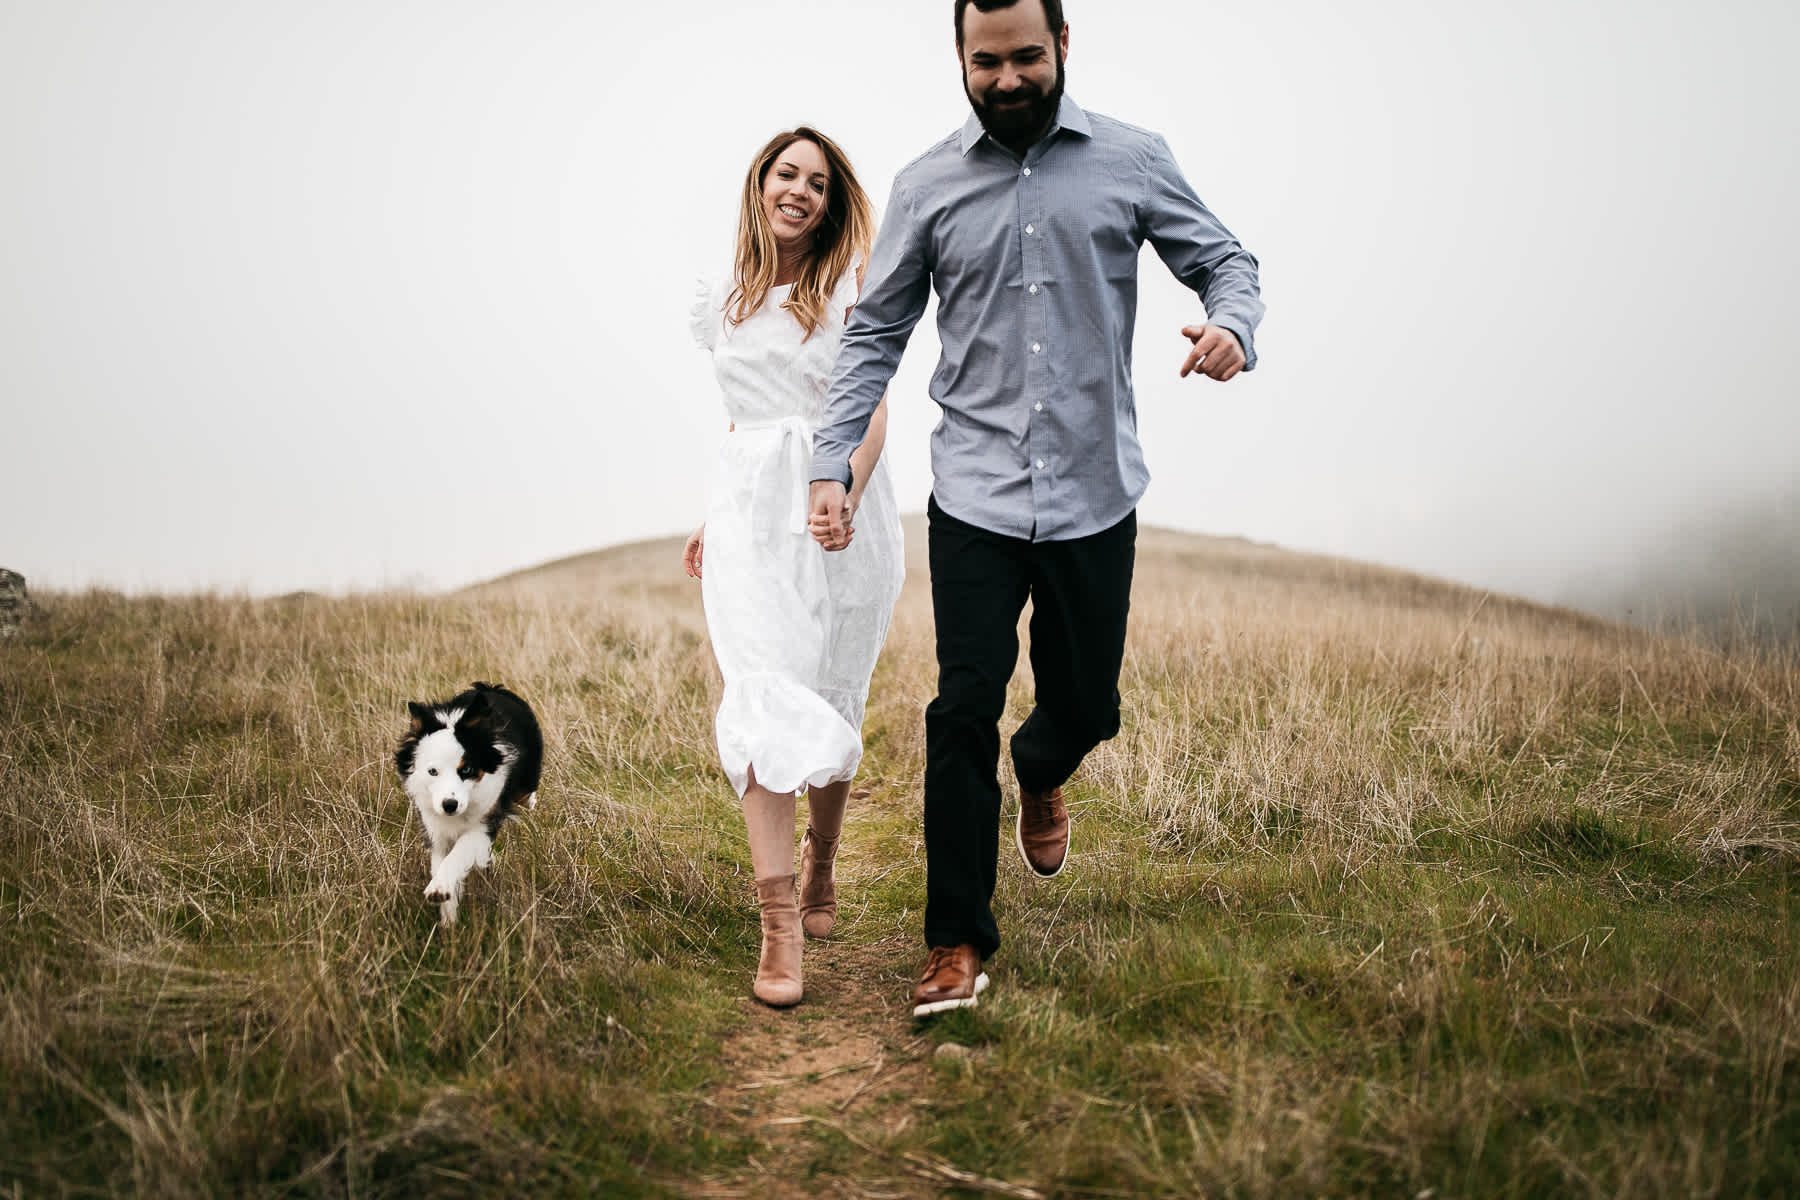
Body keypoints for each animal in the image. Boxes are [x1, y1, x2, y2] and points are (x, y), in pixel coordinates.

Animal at [390, 680, 536, 928]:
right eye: (432, 771)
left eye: (466, 769)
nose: (450, 804)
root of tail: (490, 687)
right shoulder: (435, 830)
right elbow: (441, 862)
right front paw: (448, 917)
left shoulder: (485, 820)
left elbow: (459, 853)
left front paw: (440, 889)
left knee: (525, 793)